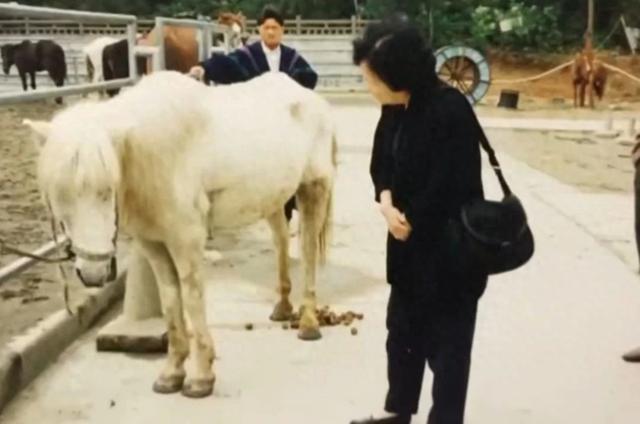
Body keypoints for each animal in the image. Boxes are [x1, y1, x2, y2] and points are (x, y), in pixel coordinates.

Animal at [23, 71, 336, 400]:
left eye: (106, 190)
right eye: (59, 196)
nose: (93, 273)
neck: (151, 153)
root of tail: (310, 98)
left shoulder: (186, 239)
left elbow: (192, 298)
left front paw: (201, 378)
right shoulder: (153, 243)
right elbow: (171, 300)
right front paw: (172, 373)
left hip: (313, 189)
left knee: (309, 251)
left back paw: (309, 323)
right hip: (273, 200)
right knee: (281, 242)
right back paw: (283, 308)